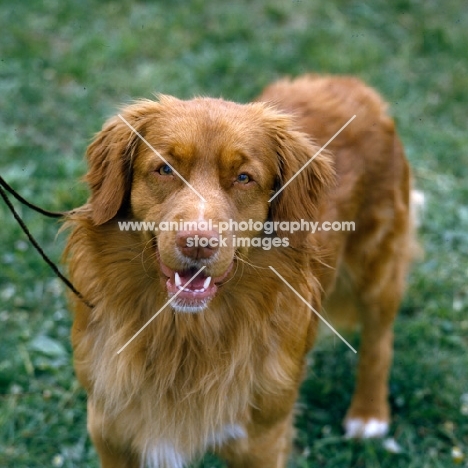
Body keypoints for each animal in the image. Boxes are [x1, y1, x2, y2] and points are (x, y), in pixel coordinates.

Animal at [65, 75, 414, 466]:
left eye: (244, 177)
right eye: (165, 169)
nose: (198, 243)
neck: (184, 334)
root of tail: (348, 82)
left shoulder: (261, 438)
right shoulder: (111, 430)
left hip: (377, 269)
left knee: (378, 343)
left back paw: (369, 414)